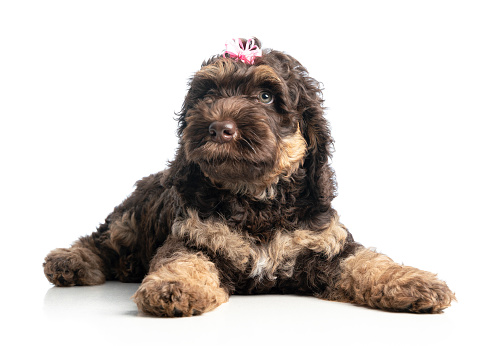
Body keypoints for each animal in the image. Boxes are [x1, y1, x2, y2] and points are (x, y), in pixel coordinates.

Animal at [44, 37, 458, 316]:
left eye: (266, 96)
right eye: (208, 94)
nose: (218, 128)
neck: (256, 197)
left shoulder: (326, 244)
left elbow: (368, 261)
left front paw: (413, 281)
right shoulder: (193, 236)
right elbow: (184, 261)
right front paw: (174, 286)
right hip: (131, 221)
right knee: (103, 238)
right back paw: (71, 260)